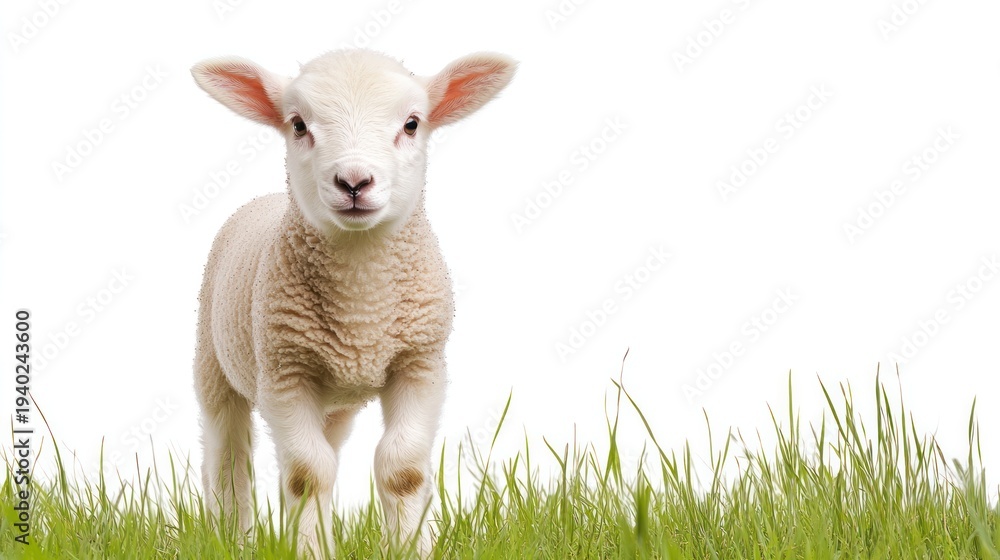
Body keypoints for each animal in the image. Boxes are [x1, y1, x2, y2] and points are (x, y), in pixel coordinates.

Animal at [190, 48, 515, 557]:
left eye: (412, 124)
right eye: (299, 124)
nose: (355, 182)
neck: (362, 305)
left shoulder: (419, 363)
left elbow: (402, 469)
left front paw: (409, 547)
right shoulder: (284, 372)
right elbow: (306, 475)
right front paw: (310, 551)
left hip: (335, 404)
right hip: (214, 362)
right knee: (227, 457)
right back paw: (234, 538)